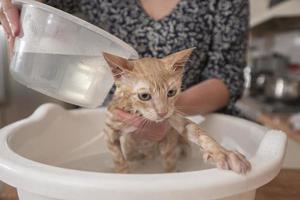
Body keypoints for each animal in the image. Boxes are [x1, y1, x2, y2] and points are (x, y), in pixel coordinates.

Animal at [102, 48, 250, 173]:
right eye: (144, 96)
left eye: (171, 92)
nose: (162, 113)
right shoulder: (109, 131)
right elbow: (118, 159)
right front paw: (123, 172)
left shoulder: (173, 117)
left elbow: (199, 133)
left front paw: (223, 153)